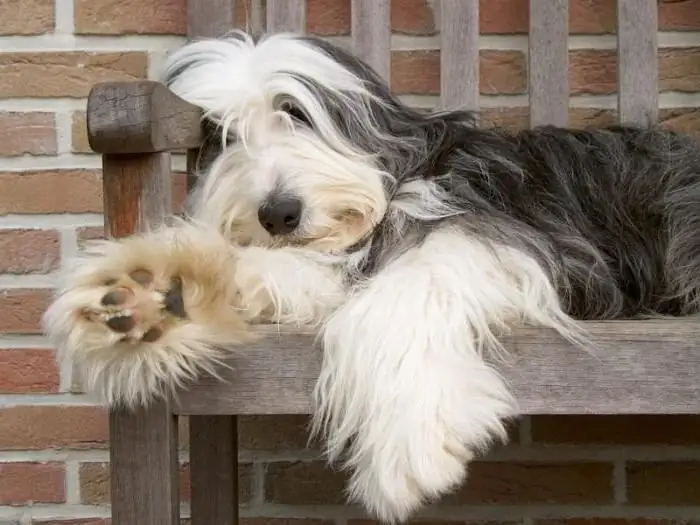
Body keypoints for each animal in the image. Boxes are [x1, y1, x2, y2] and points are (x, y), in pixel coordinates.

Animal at [41, 31, 700, 520]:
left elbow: (413, 282)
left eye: (295, 112)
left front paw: (409, 445)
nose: (279, 213)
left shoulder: (535, 241)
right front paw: (146, 289)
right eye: (218, 134)